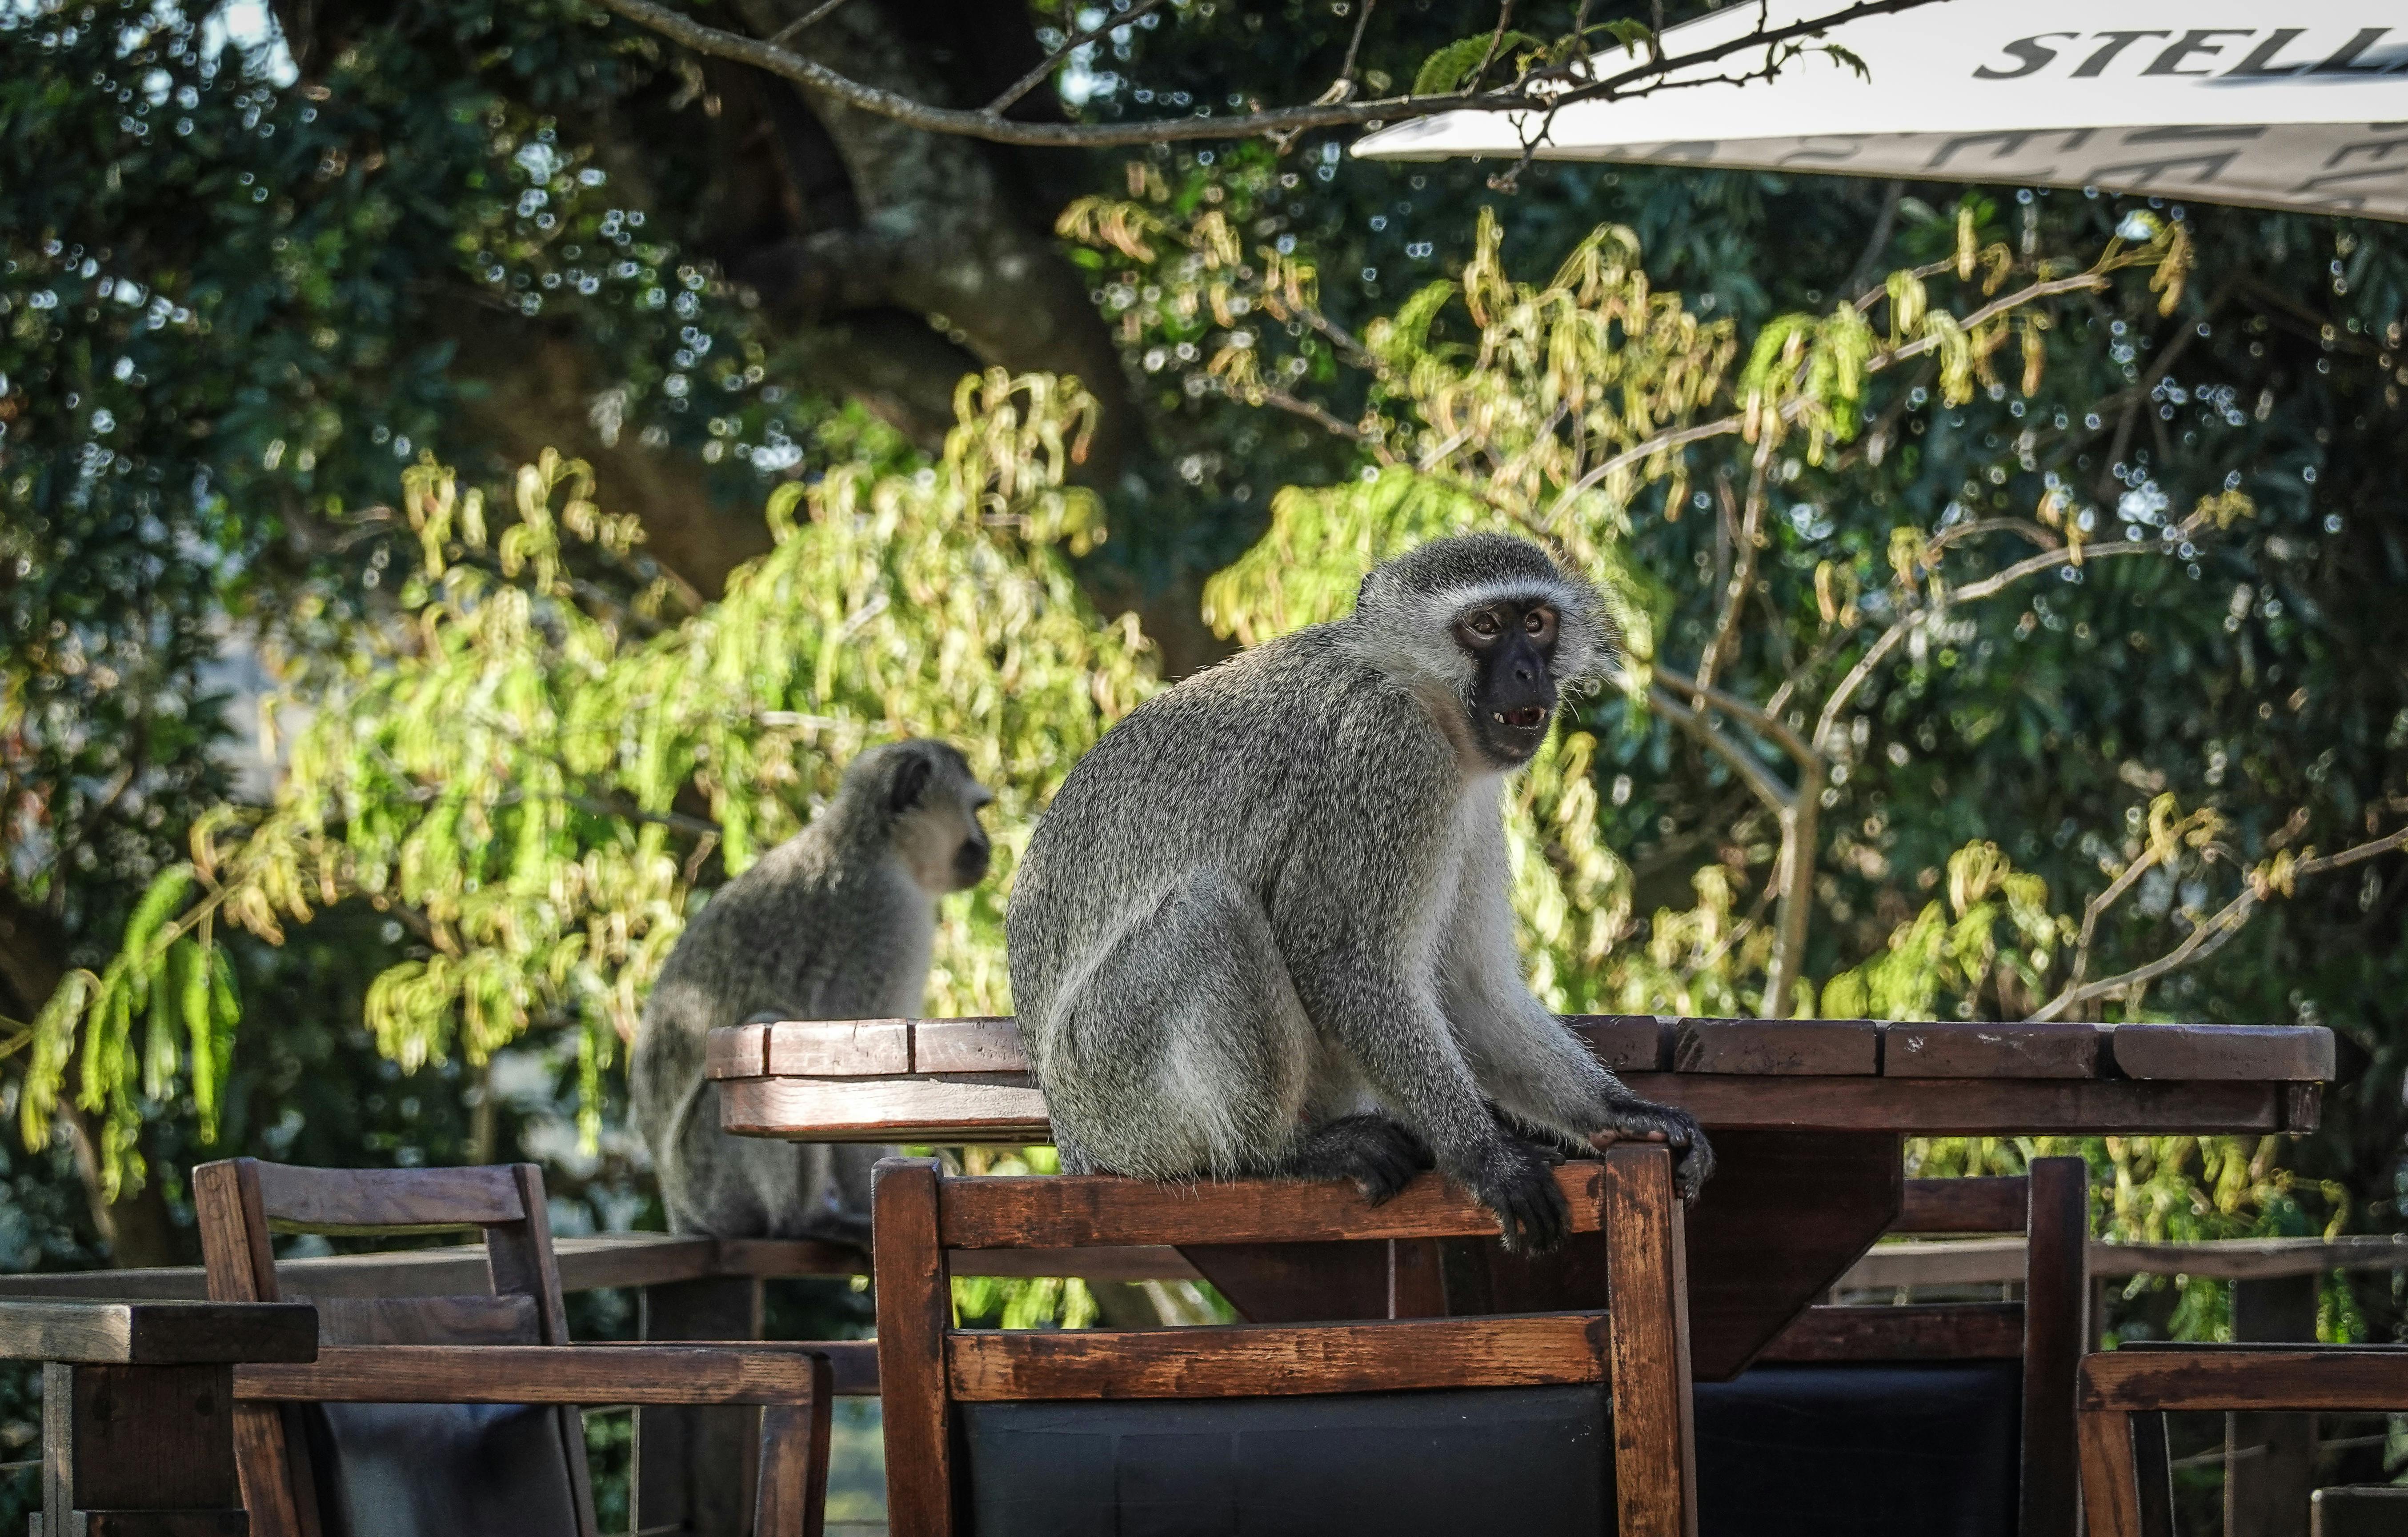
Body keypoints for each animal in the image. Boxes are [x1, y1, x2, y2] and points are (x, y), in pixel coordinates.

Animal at [636, 742, 992, 1243]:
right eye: (976, 811)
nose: (987, 845)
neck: (870, 841)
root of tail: (682, 1212)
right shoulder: (887, 919)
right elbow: (862, 1075)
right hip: (715, 1186)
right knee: (763, 1027)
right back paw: (804, 1221)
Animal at [1002, 535, 1714, 1262]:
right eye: (1485, 625)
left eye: (1537, 623)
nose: (1526, 673)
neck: (1411, 687)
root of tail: (1075, 1136)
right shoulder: (1389, 759)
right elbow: (1344, 963)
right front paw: (1488, 1158)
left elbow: (1466, 990)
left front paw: (1623, 1113)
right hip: (1120, 1089)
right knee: (1209, 910)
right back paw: (1280, 1154)